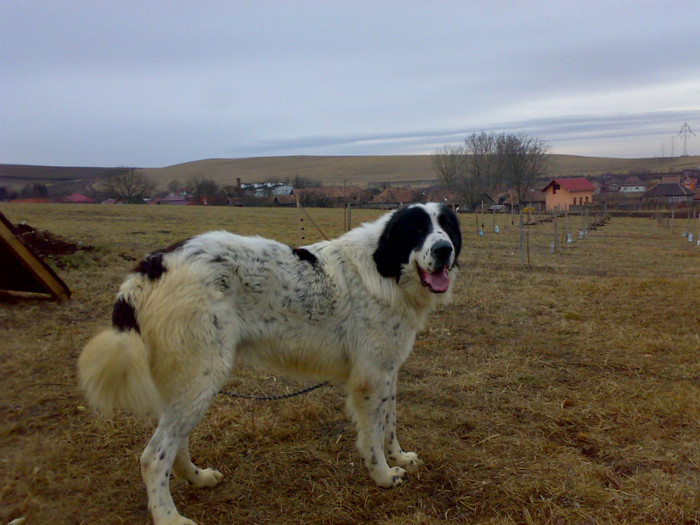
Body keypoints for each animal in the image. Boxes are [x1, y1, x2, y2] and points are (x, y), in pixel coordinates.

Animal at [79, 202, 462, 524]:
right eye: (416, 230)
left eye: (446, 227)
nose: (444, 250)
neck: (386, 268)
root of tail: (152, 266)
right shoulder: (371, 378)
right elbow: (372, 436)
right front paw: (383, 475)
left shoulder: (388, 371)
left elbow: (390, 425)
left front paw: (399, 457)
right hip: (204, 376)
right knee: (154, 456)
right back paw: (169, 517)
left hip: (188, 382)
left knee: (176, 442)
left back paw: (198, 479)